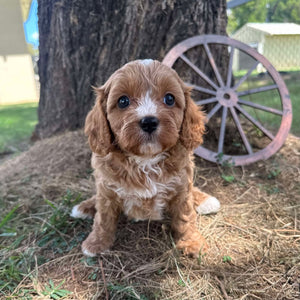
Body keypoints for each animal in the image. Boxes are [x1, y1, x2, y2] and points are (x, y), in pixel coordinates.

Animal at [71, 59, 219, 258]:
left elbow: (185, 216)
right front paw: (96, 243)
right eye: (123, 101)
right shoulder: (106, 189)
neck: (146, 159)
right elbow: (103, 218)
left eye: (169, 99)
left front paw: (192, 242)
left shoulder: (181, 187)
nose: (149, 122)